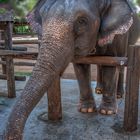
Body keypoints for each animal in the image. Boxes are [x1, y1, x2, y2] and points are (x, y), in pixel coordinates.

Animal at [4, 0, 140, 139]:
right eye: (42, 17)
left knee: (121, 62)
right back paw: (98, 90)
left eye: (82, 21)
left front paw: (106, 112)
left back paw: (119, 94)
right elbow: (81, 66)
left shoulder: (118, 34)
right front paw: (86, 110)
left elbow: (111, 64)